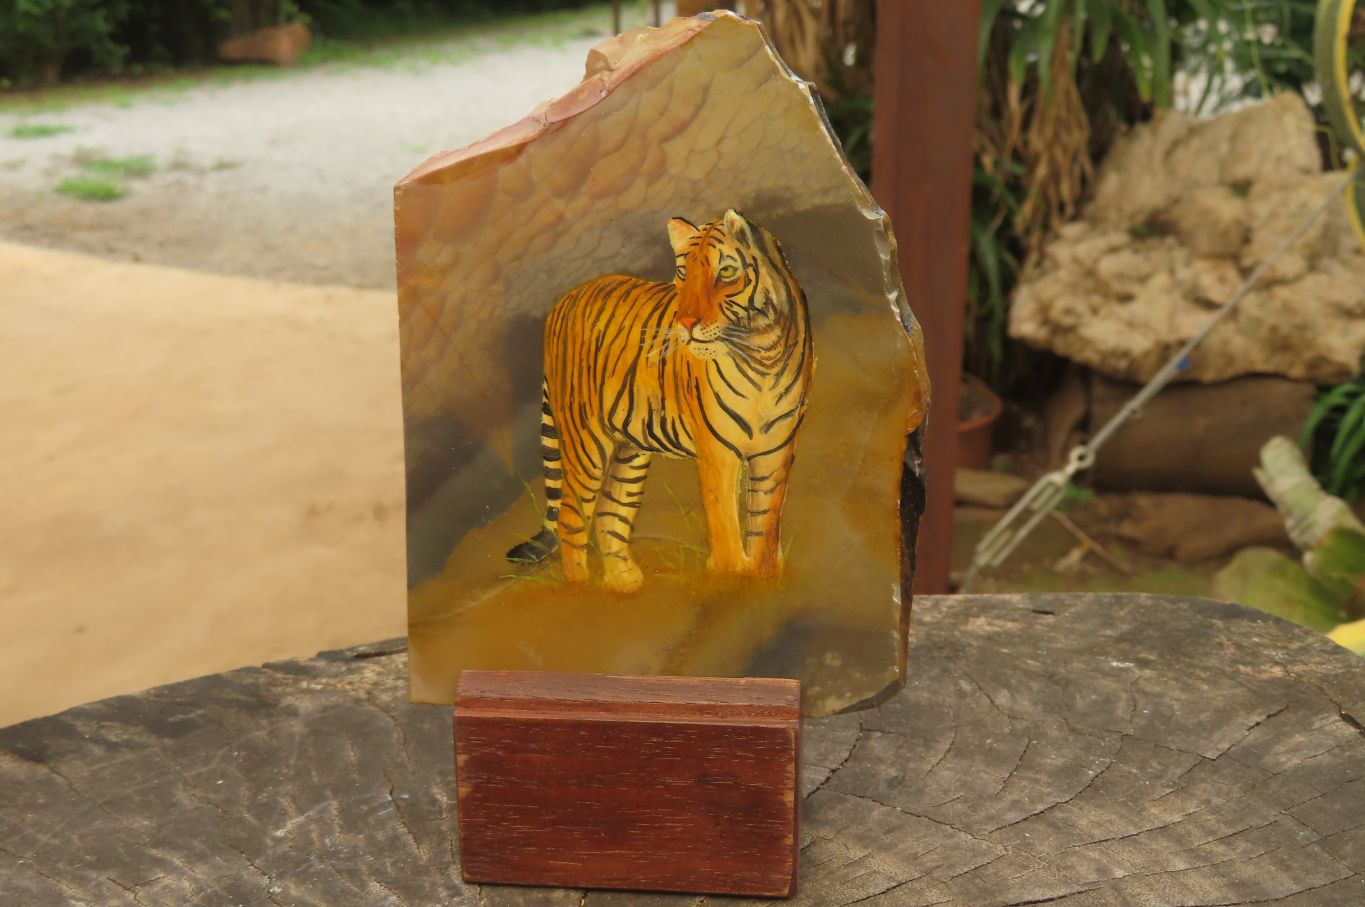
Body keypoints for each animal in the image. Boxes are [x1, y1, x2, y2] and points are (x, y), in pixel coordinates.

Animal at [506, 209, 814, 593]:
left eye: (726, 271)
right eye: (683, 273)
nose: (687, 322)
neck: (762, 351)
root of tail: (563, 300)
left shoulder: (777, 449)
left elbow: (765, 523)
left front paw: (764, 578)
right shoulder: (718, 452)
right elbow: (725, 521)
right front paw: (730, 579)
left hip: (629, 448)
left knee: (610, 514)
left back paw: (624, 586)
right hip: (586, 443)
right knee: (570, 518)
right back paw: (581, 591)